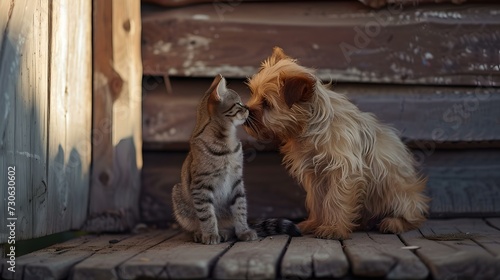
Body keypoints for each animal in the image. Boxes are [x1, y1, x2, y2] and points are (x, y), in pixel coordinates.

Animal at [172, 75, 298, 245]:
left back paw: (225, 232)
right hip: (178, 193)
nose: (248, 108)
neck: (227, 145)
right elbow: (207, 214)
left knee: (229, 227)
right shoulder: (201, 186)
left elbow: (240, 209)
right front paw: (210, 234)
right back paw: (201, 233)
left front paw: (244, 231)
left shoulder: (236, 181)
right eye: (238, 103)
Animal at [243, 47, 430, 240]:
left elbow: (335, 200)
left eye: (267, 103)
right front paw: (315, 223)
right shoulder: (315, 176)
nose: (246, 112)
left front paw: (333, 228)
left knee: (414, 215)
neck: (311, 126)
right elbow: (317, 201)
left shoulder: (344, 170)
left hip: (395, 191)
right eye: (253, 94)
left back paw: (394, 222)